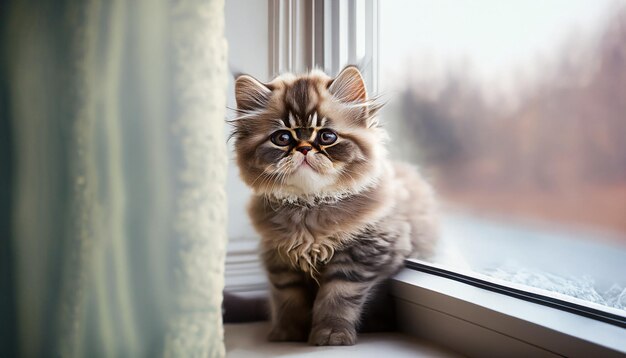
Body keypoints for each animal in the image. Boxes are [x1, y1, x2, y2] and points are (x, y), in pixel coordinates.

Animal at [228, 65, 434, 346]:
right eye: (282, 138)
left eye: (327, 136)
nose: (304, 149)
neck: (309, 205)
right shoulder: (279, 258)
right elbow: (287, 298)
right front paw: (287, 334)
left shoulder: (362, 255)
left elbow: (337, 297)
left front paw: (331, 335)